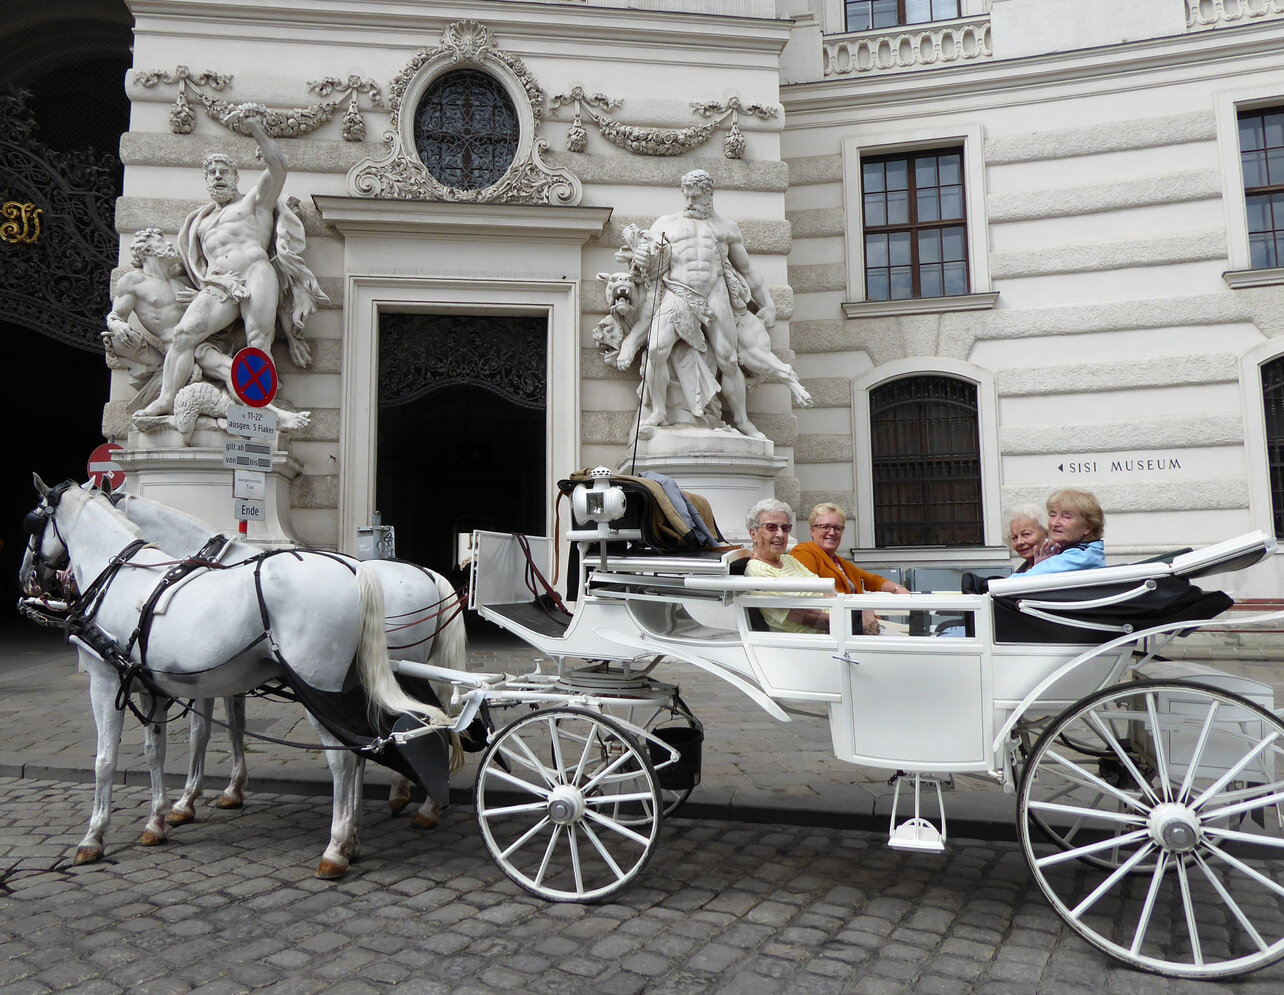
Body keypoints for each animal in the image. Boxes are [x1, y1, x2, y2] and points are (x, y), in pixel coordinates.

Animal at [109, 493, 462, 831]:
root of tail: (429, 574)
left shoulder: (202, 676)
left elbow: (201, 734)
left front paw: (185, 802)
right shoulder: (229, 678)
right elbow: (236, 727)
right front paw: (233, 789)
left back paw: (417, 803)